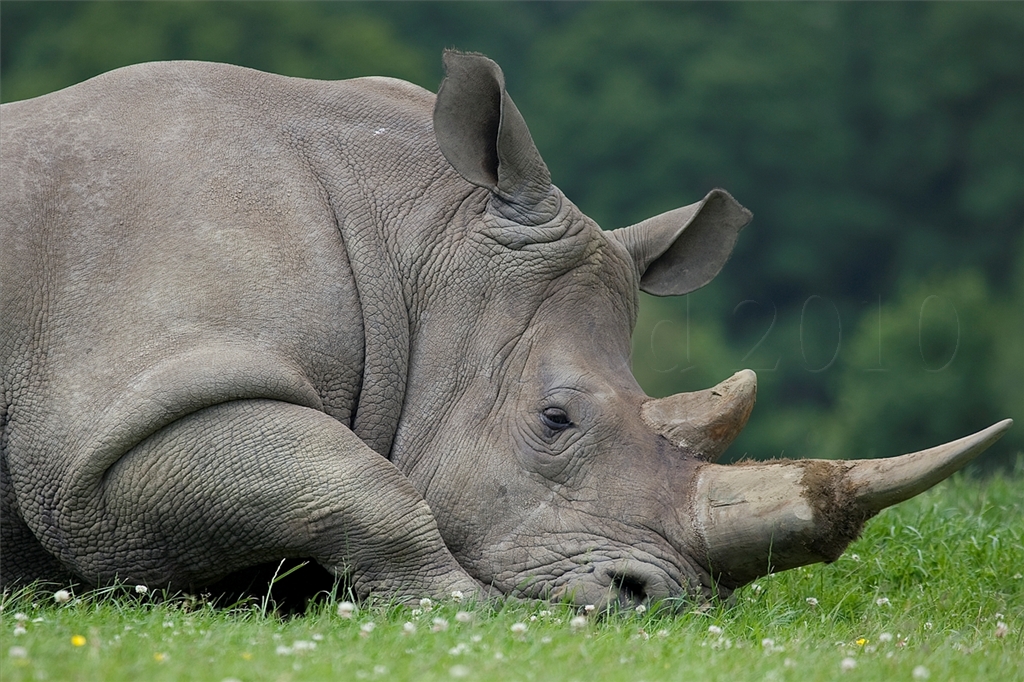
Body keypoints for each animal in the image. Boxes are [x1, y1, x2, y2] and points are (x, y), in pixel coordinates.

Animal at [1, 51, 1011, 609]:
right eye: (554, 420)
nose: (661, 603)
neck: (412, 246)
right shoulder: (101, 444)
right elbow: (360, 485)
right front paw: (471, 604)